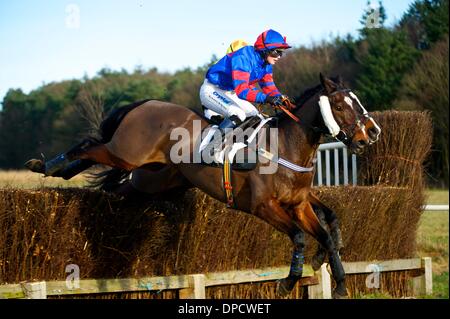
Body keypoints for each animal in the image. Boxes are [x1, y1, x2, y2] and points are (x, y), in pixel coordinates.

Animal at [26, 74, 380, 298]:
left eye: (357, 101)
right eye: (340, 106)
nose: (370, 134)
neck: (287, 147)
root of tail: (146, 103)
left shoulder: (299, 203)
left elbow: (325, 233)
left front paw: (339, 282)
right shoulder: (263, 206)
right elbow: (299, 237)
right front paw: (287, 283)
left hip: (150, 179)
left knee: (115, 185)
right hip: (126, 153)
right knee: (88, 145)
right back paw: (47, 165)